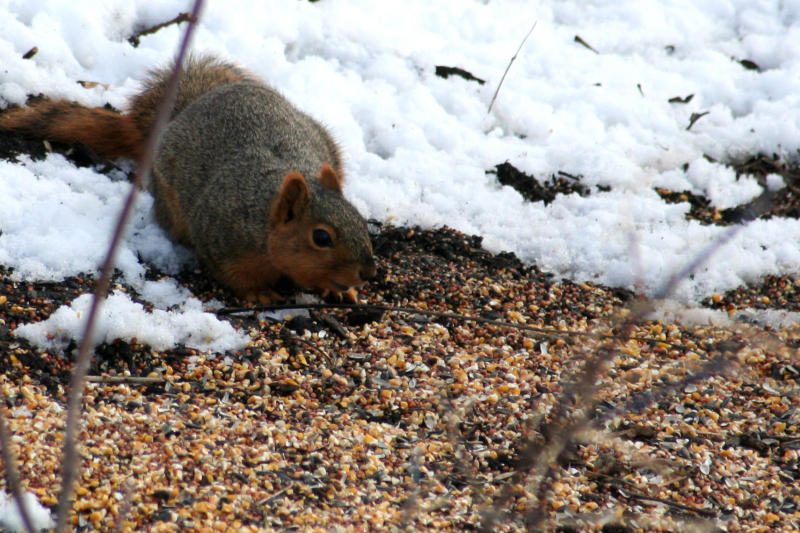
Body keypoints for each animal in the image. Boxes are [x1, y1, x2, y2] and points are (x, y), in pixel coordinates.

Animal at [0, 57, 376, 304]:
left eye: (359, 218)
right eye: (321, 237)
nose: (368, 272)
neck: (261, 213)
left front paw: (342, 289)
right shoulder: (222, 242)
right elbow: (234, 276)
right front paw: (259, 294)